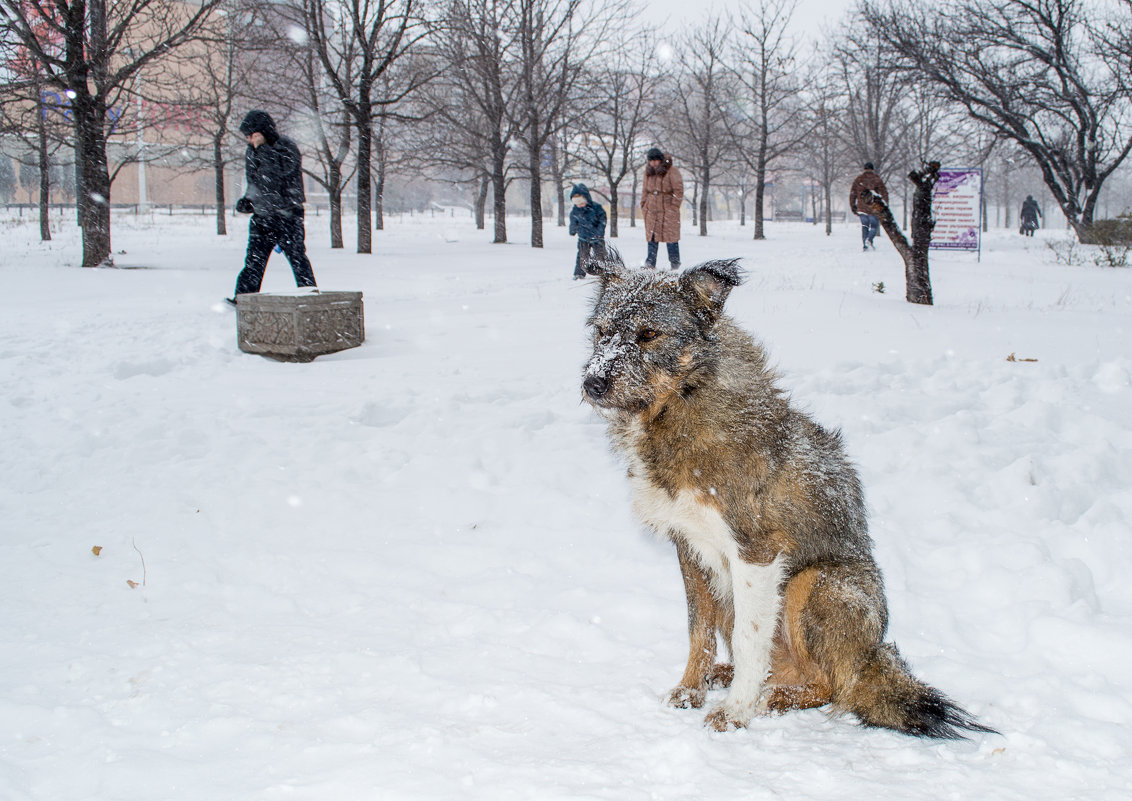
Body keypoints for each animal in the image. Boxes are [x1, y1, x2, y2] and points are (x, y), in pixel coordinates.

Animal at [584, 256, 991, 737]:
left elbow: (748, 637)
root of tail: (871, 657)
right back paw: (736, 678)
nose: (592, 383)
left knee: (832, 685)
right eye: (601, 332)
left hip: (812, 583)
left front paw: (735, 712)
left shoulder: (756, 552)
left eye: (648, 334)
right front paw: (690, 689)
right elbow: (698, 631)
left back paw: (774, 697)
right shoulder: (689, 546)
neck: (683, 404)